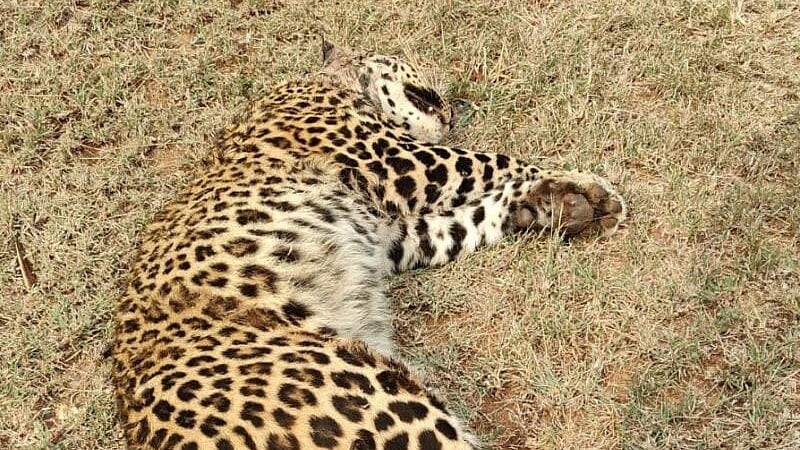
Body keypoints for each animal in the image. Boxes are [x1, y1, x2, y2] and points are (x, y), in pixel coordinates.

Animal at [112, 39, 627, 450]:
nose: (451, 113)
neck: (329, 81)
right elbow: (491, 160)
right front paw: (572, 180)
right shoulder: (403, 162)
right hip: (375, 397)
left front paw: (563, 203)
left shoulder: (393, 236)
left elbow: (465, 221)